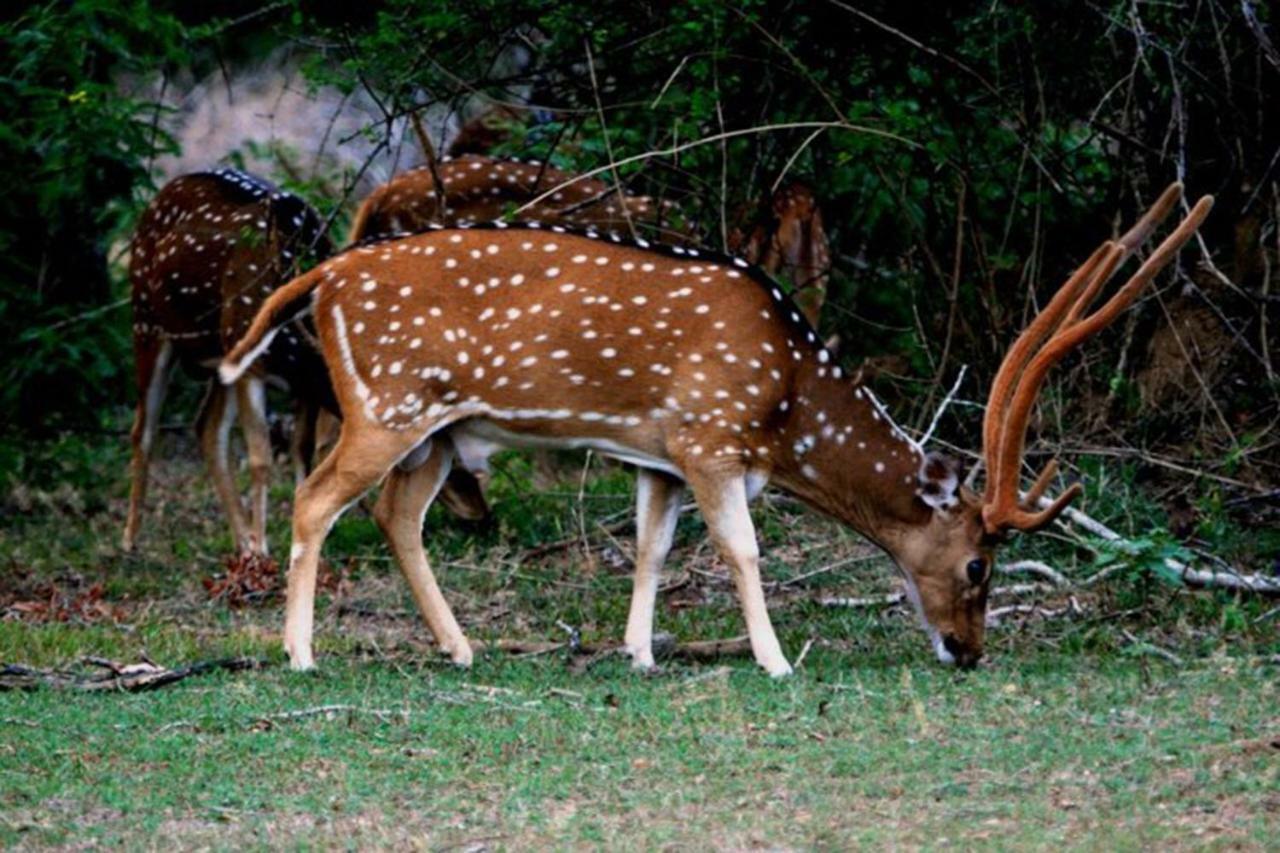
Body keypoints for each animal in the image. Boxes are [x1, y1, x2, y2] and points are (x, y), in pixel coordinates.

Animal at [120, 167, 335, 550]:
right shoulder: (253, 364)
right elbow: (261, 458)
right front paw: (264, 548)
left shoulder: (306, 384)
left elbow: (303, 450)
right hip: (145, 317)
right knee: (143, 428)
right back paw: (130, 541)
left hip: (220, 354)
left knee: (206, 427)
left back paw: (241, 542)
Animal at [220, 183, 1208, 676]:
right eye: (977, 565)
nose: (968, 652)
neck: (787, 403)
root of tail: (322, 278)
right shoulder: (708, 436)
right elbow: (741, 547)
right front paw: (774, 661)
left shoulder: (657, 455)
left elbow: (653, 546)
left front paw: (640, 653)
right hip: (388, 407)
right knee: (317, 501)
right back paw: (300, 655)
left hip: (440, 431)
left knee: (396, 514)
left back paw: (461, 649)